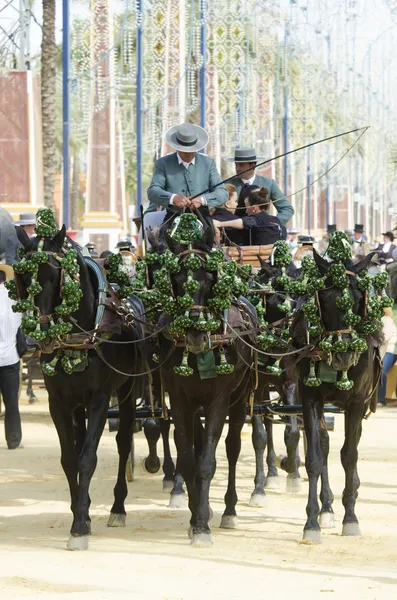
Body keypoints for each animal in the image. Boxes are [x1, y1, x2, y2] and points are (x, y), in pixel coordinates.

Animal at [16, 227, 145, 552]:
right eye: (22, 277)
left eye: (55, 275)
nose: (40, 336)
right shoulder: (59, 403)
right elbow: (70, 459)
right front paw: (80, 515)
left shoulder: (99, 398)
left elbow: (88, 458)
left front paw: (78, 529)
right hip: (77, 406)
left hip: (126, 391)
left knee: (123, 442)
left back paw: (117, 509)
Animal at [157, 227, 254, 548]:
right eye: (176, 280)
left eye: (210, 278)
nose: (195, 334)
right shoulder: (179, 398)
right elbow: (188, 459)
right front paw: (196, 518)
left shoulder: (219, 399)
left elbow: (208, 462)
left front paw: (202, 526)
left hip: (240, 397)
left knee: (233, 447)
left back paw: (229, 510)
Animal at [290, 250, 382, 544]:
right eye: (326, 299)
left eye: (358, 299)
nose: (344, 354)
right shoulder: (310, 397)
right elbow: (315, 458)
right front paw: (311, 522)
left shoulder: (356, 402)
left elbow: (349, 456)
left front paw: (350, 518)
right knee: (324, 443)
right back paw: (327, 508)